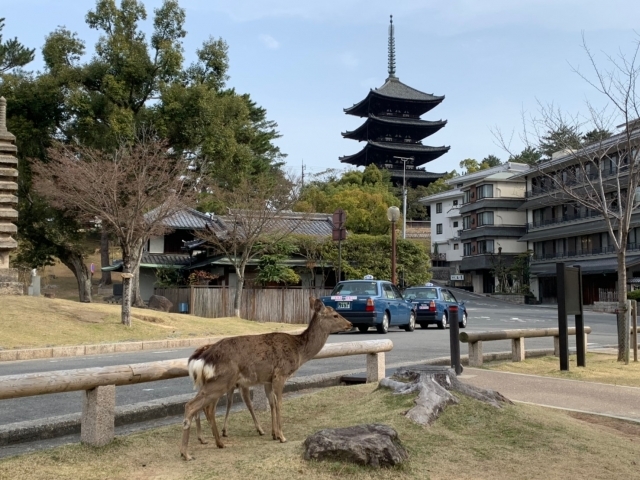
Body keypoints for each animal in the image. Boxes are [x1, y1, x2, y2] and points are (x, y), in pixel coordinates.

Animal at [179, 296, 350, 462]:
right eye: (335, 315)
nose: (350, 324)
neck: (299, 352)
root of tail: (203, 358)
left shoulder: (268, 379)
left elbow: (272, 403)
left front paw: (274, 434)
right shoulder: (280, 374)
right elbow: (279, 403)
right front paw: (282, 437)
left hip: (213, 381)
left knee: (203, 407)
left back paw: (215, 443)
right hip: (223, 379)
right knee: (193, 405)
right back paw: (187, 453)